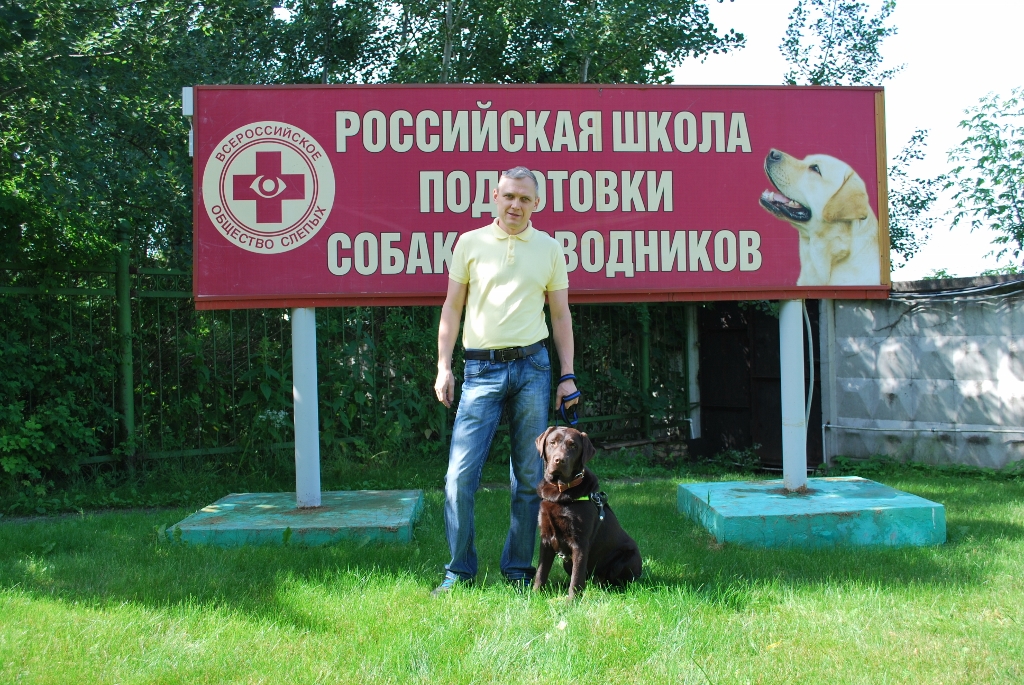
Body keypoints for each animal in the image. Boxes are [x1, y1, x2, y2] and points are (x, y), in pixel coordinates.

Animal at [533, 426, 642, 600]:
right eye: (552, 442)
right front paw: (535, 595)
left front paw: (571, 601)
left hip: (626, 559)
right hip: (567, 562)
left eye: (573, 446)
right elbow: (541, 571)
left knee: (617, 581)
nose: (559, 460)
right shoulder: (546, 539)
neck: (560, 490)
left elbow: (577, 578)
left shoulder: (580, 542)